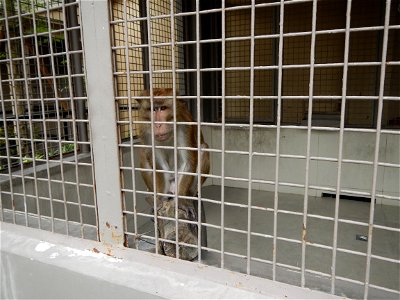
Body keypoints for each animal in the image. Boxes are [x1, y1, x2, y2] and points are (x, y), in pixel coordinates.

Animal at [136, 87, 209, 258]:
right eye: (152, 109)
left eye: (162, 108)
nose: (157, 124)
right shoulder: (145, 128)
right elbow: (157, 161)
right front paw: (159, 200)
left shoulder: (183, 125)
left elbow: (188, 160)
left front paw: (181, 201)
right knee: (144, 152)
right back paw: (152, 197)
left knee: (203, 149)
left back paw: (188, 196)